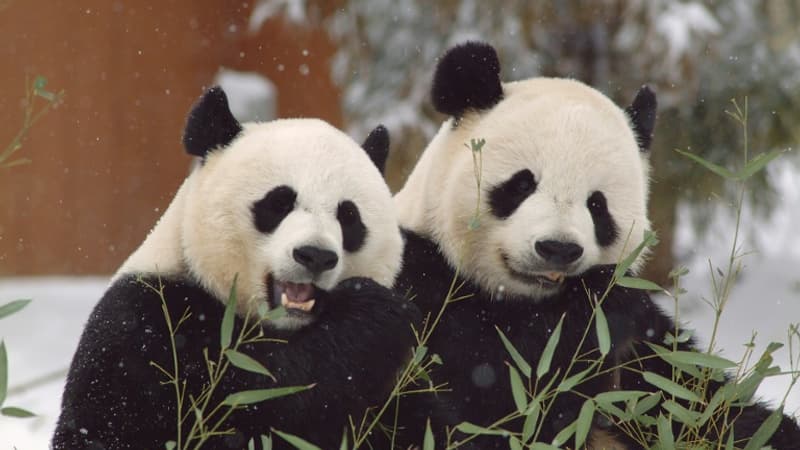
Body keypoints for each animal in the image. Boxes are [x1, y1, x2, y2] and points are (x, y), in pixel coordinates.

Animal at [52, 87, 420, 450]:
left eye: (349, 216)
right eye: (279, 203)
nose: (315, 256)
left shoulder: (401, 387)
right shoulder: (146, 323)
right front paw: (373, 316)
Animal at [393, 42, 800, 449]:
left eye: (597, 205)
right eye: (521, 184)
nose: (557, 249)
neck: (524, 301)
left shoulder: (648, 355)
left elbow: (705, 406)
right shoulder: (425, 287)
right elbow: (497, 400)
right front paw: (599, 302)